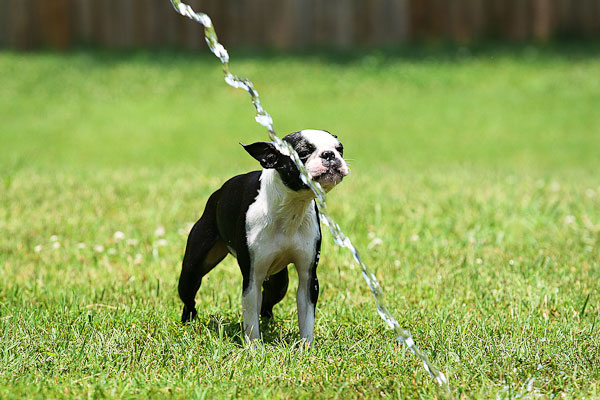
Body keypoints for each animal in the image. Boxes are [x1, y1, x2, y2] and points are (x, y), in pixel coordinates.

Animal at [177, 130, 346, 342]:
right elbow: (250, 319)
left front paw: (306, 346)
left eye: (340, 148)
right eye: (303, 153)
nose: (330, 155)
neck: (291, 207)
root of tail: (217, 194)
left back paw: (268, 322)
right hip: (192, 270)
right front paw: (254, 346)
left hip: (279, 282)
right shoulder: (252, 277)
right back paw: (188, 322)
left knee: (267, 303)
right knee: (189, 297)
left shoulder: (308, 277)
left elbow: (306, 318)